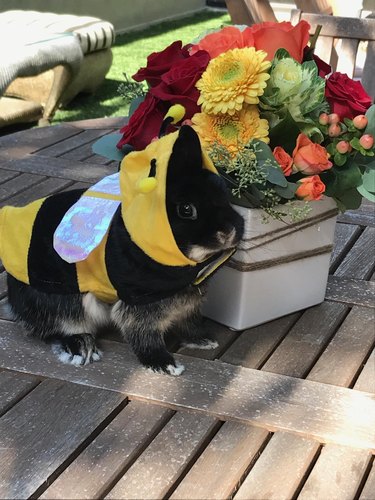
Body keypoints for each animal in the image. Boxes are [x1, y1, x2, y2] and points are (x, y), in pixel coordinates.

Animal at [1, 126, 245, 376]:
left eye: (223, 192)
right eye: (186, 210)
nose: (230, 231)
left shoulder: (187, 305)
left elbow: (188, 323)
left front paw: (203, 341)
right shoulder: (139, 304)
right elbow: (143, 335)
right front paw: (165, 364)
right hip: (62, 303)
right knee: (53, 331)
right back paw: (81, 346)